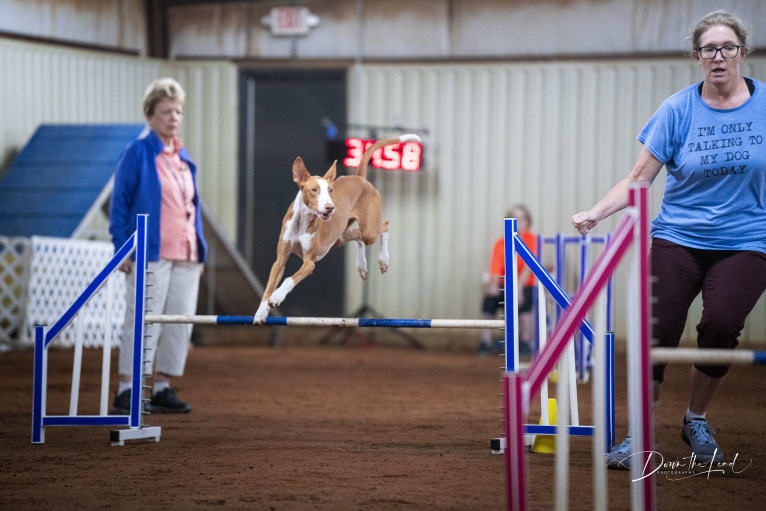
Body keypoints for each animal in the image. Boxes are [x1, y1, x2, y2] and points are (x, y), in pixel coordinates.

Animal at [254, 134, 420, 322]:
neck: (302, 222)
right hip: (339, 237)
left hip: (369, 229)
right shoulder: (280, 259)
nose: (330, 208)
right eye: (314, 190)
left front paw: (277, 296)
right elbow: (268, 287)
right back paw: (362, 266)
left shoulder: (309, 262)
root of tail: (359, 178)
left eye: (331, 190)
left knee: (384, 226)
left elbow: (289, 279)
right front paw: (261, 311)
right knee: (357, 237)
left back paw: (383, 260)